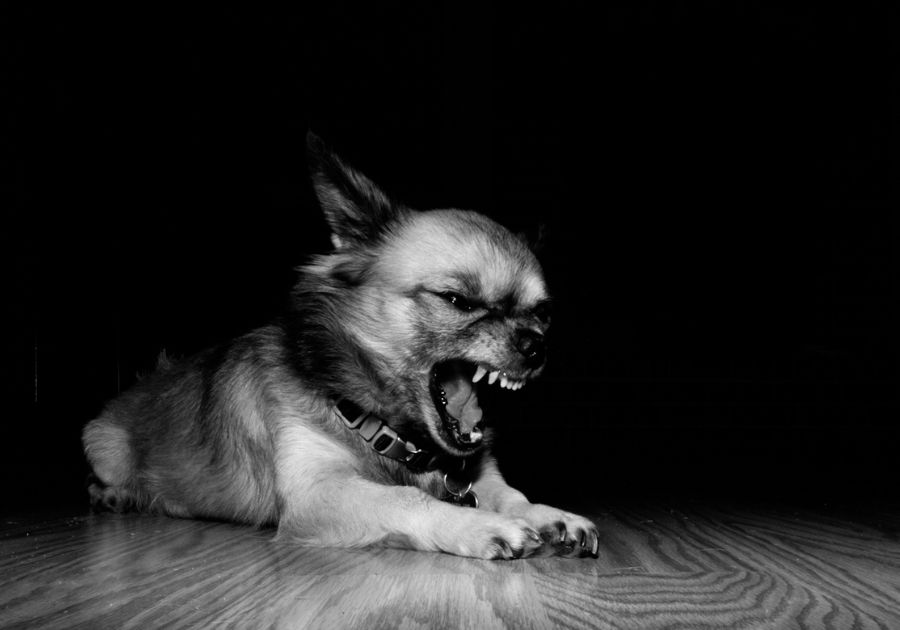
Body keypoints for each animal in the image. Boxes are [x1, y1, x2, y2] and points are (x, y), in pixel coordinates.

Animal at [82, 133, 596, 564]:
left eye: (544, 314)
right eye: (458, 300)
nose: (535, 346)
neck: (389, 430)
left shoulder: (475, 474)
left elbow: (511, 495)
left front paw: (552, 516)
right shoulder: (317, 493)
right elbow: (407, 496)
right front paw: (477, 524)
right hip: (103, 443)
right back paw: (116, 496)